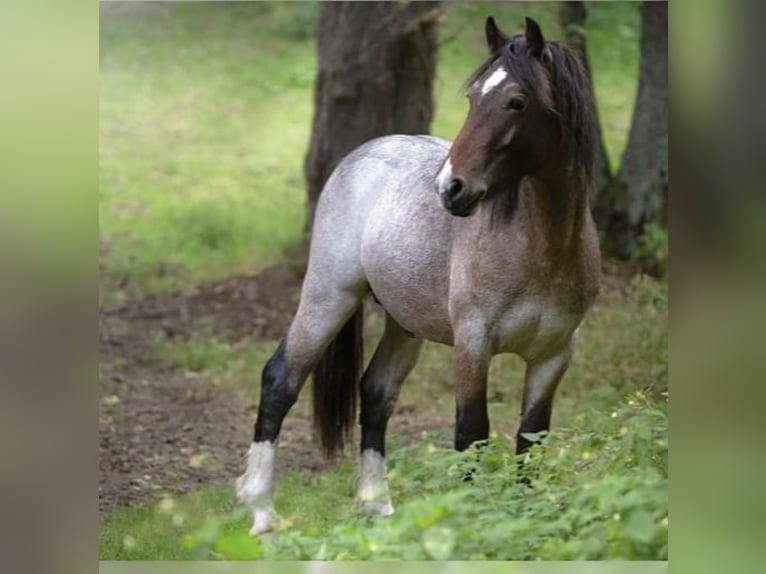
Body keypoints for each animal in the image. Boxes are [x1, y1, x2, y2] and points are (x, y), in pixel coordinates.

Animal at [237, 16, 604, 540]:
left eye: (516, 101)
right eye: (472, 97)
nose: (450, 188)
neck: (543, 248)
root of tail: (360, 154)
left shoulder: (553, 355)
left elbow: (530, 440)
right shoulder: (473, 343)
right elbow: (471, 433)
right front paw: (472, 522)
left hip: (403, 324)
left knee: (376, 394)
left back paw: (377, 505)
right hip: (328, 297)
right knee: (280, 380)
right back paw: (262, 512)